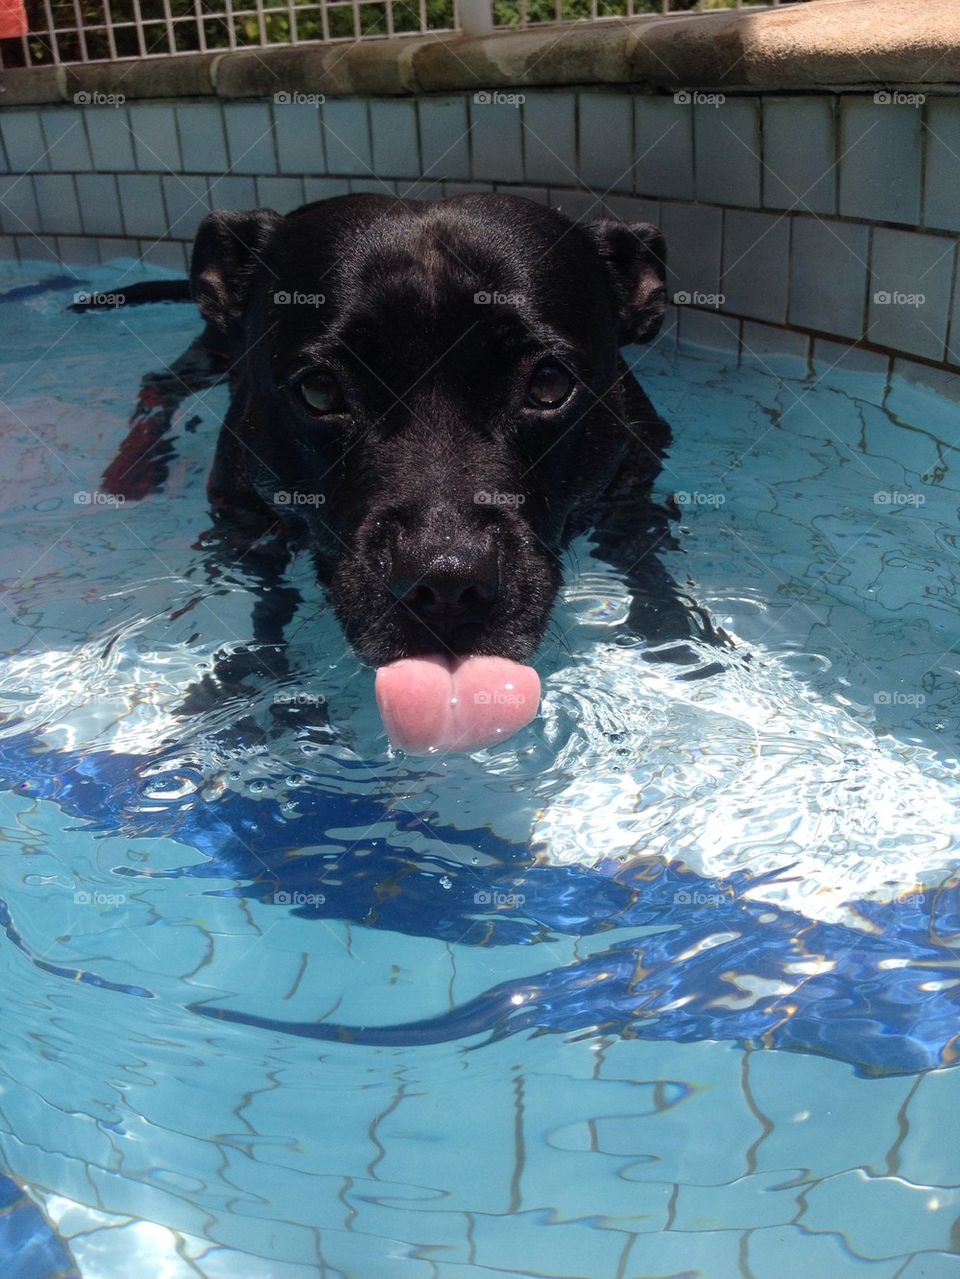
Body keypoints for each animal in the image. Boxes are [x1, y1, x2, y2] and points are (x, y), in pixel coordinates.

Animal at [82, 194, 726, 746]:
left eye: (549, 384)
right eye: (319, 390)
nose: (446, 582)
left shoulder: (632, 493)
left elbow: (648, 564)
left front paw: (677, 636)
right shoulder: (246, 521)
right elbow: (266, 605)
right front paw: (247, 684)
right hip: (210, 352)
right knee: (160, 383)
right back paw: (132, 470)